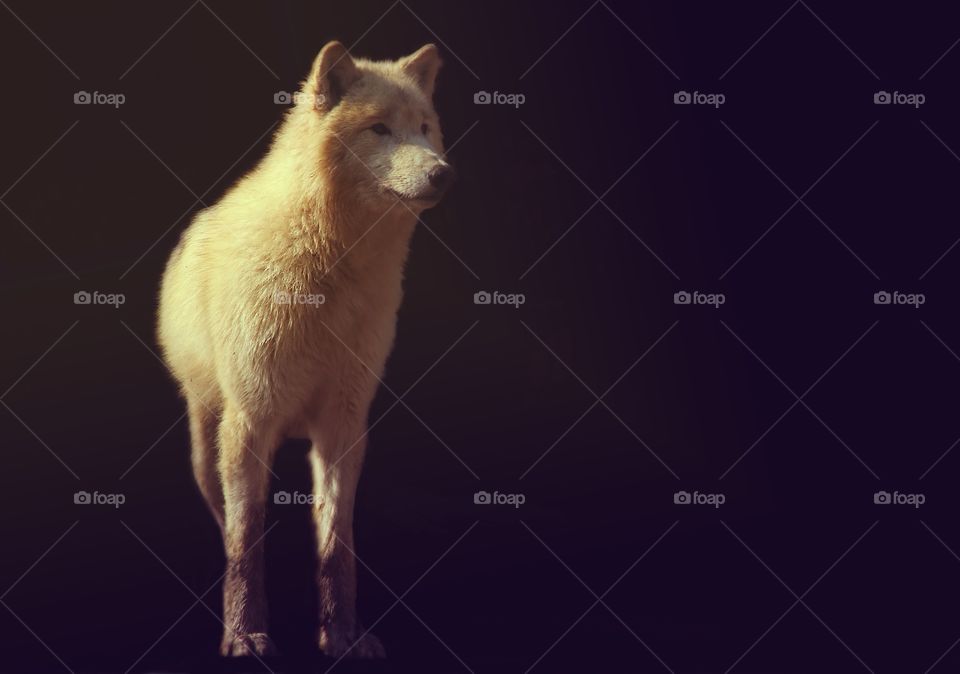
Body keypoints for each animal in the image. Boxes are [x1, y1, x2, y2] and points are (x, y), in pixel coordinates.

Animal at [156, 41, 454, 658]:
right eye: (379, 128)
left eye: (424, 129)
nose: (442, 173)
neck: (329, 280)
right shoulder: (250, 422)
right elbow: (246, 541)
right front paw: (245, 636)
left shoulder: (345, 425)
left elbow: (336, 545)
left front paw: (342, 635)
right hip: (207, 443)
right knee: (228, 524)